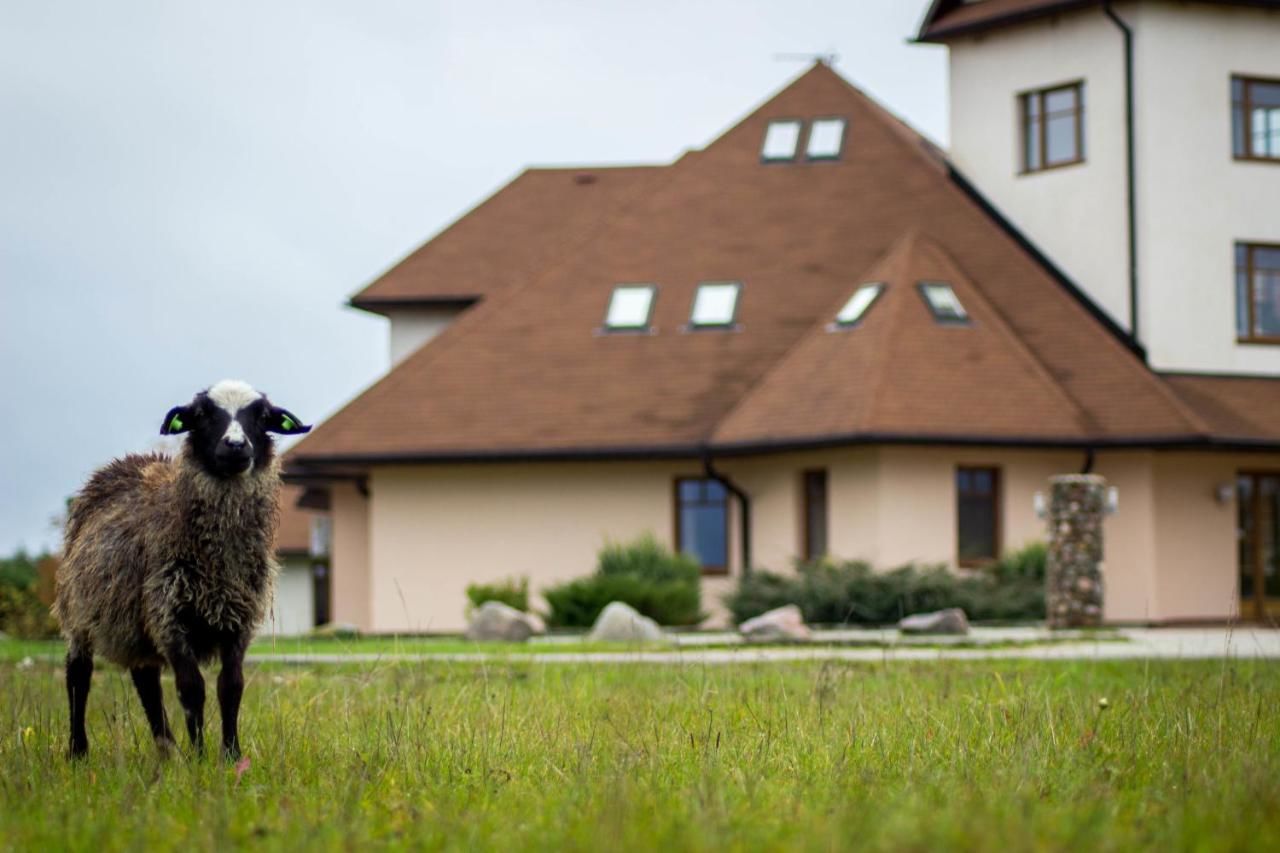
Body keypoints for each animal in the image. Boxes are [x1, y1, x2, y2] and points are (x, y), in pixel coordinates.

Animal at [56, 379, 312, 758]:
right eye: (202, 414)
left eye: (263, 416)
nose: (236, 447)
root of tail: (126, 461)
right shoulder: (170, 615)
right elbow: (192, 689)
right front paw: (200, 757)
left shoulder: (237, 620)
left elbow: (231, 686)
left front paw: (231, 755)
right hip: (78, 611)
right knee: (78, 674)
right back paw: (78, 751)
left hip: (136, 621)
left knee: (146, 680)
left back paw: (168, 751)